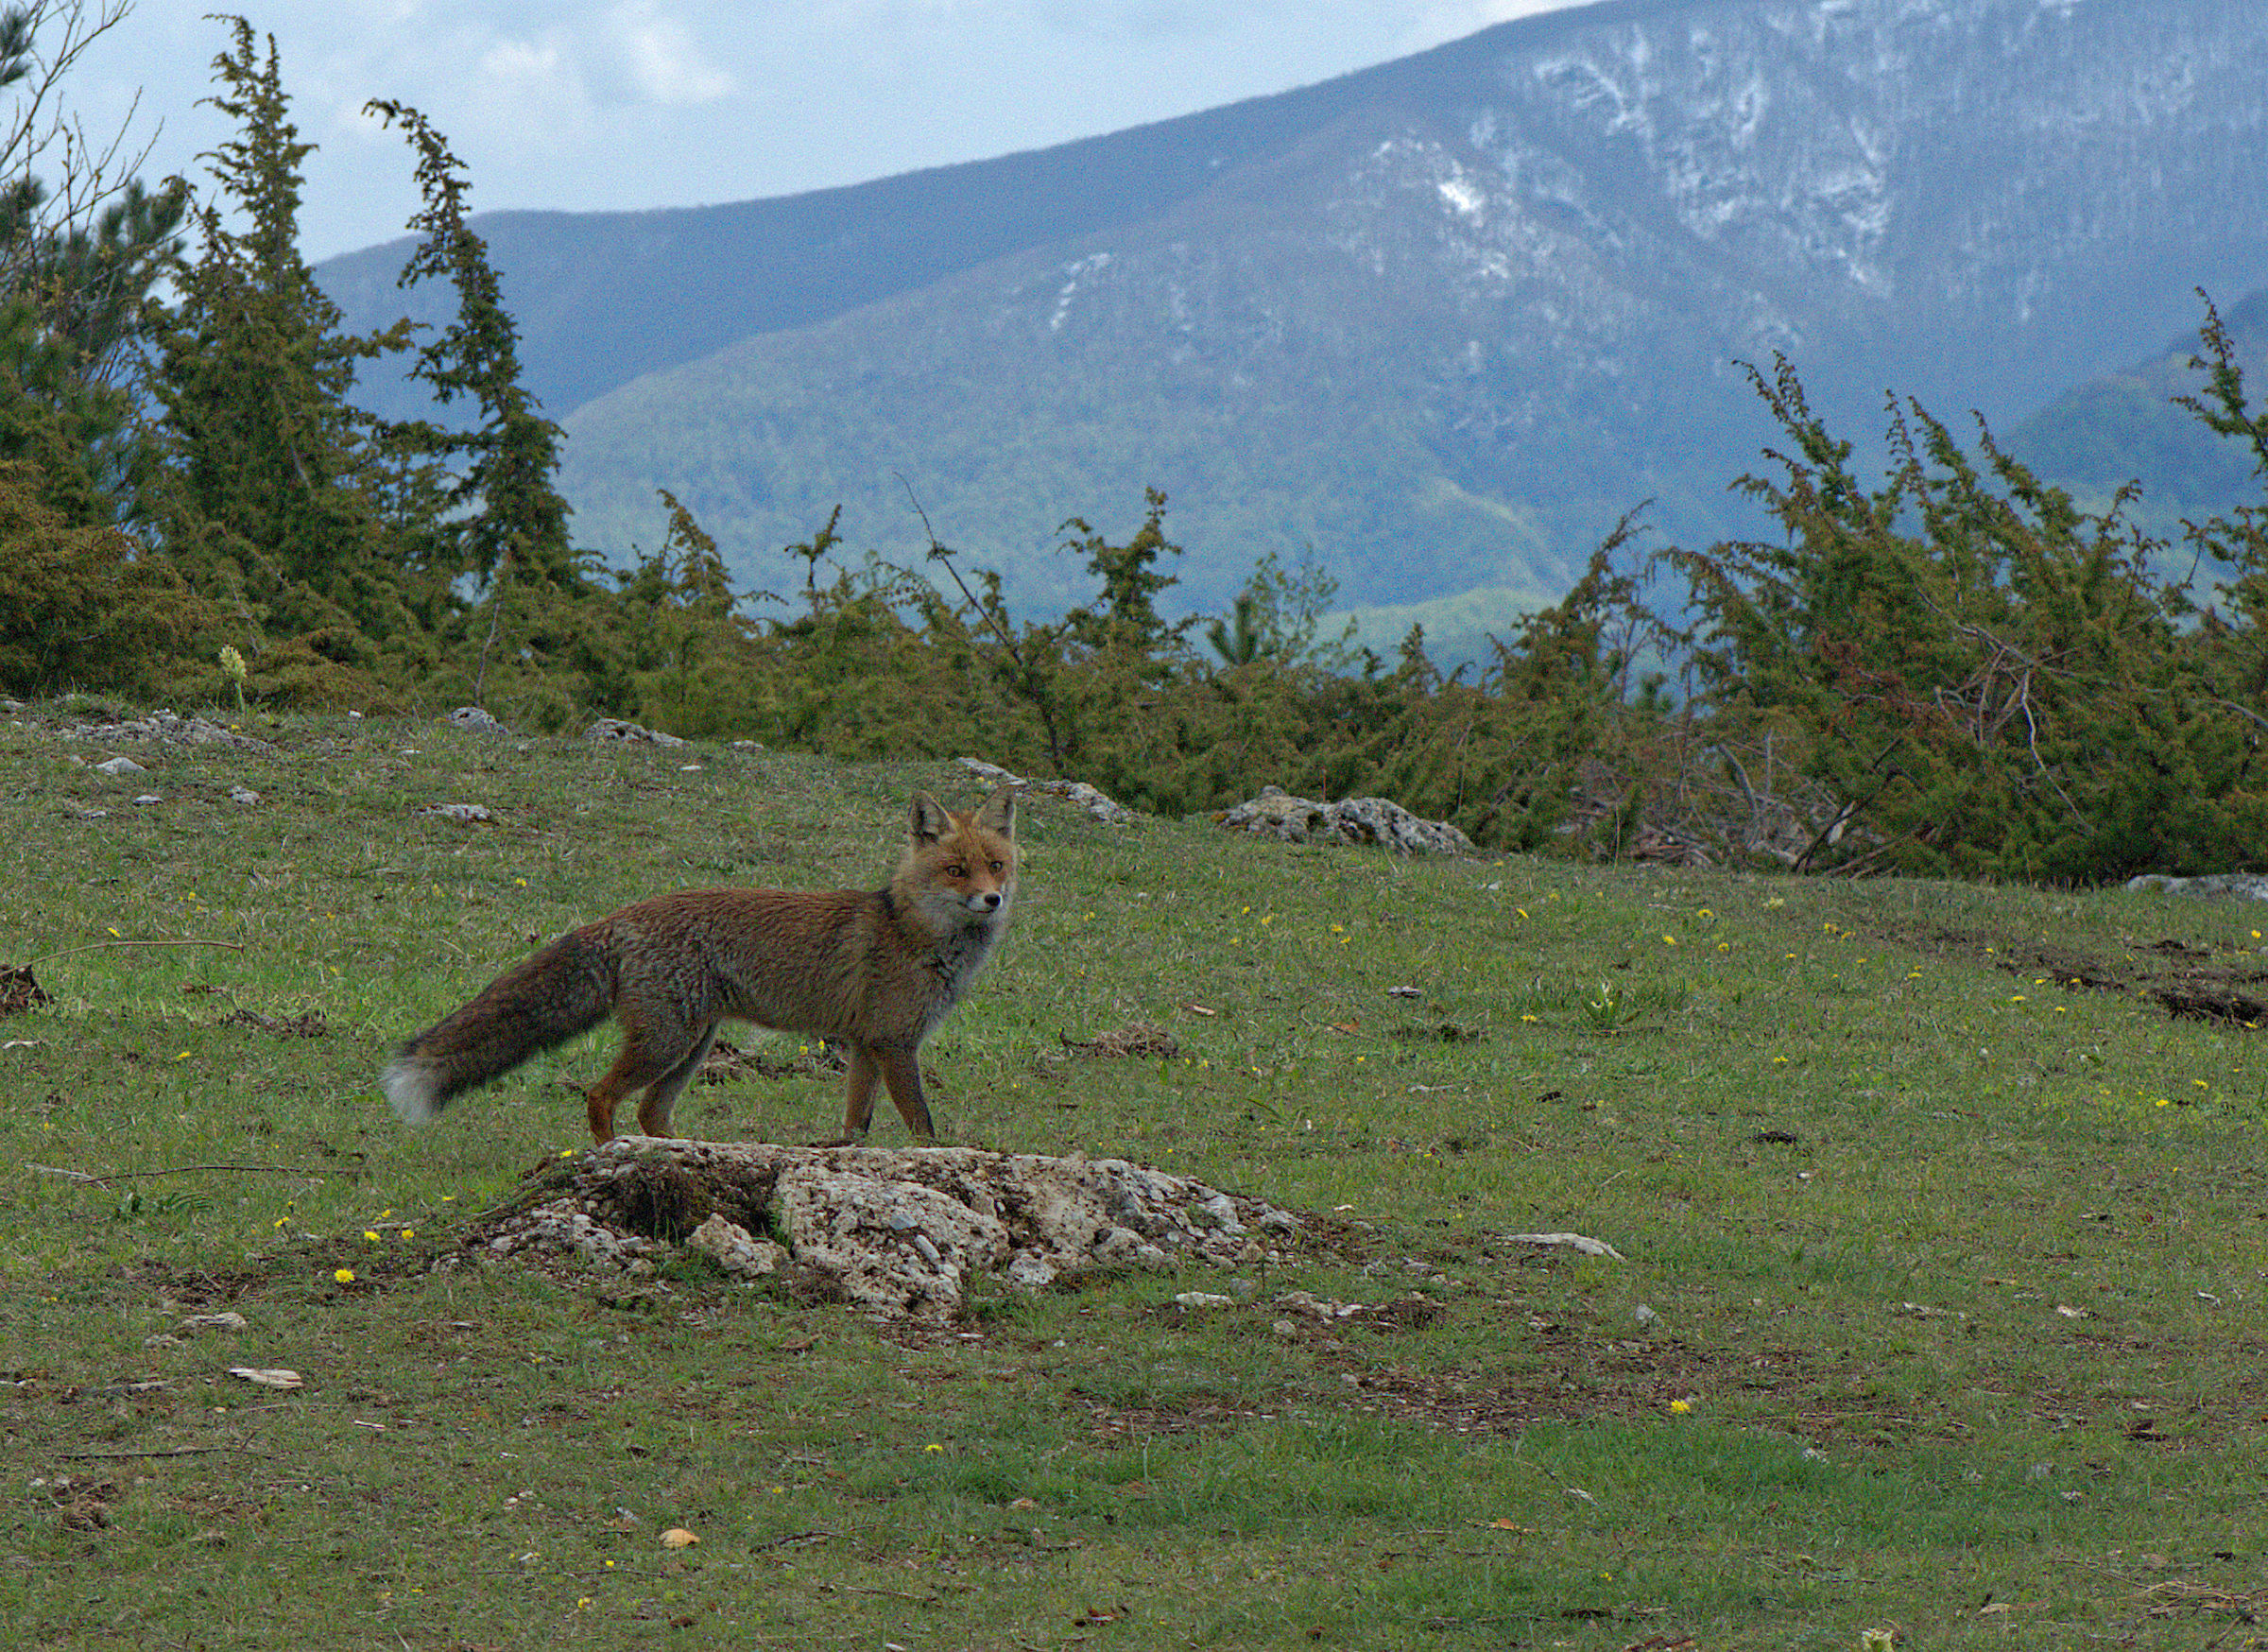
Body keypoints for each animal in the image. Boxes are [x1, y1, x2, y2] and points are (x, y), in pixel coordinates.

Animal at [381, 786, 1017, 1145]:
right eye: (956, 871)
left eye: (996, 865)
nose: (993, 900)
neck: (915, 932)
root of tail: (621, 916)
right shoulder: (894, 1042)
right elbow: (922, 1125)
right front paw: (931, 1159)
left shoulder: (865, 1044)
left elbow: (854, 1125)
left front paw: (847, 1157)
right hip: (668, 1041)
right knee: (601, 1096)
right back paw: (611, 1153)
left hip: (692, 1046)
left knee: (649, 1111)